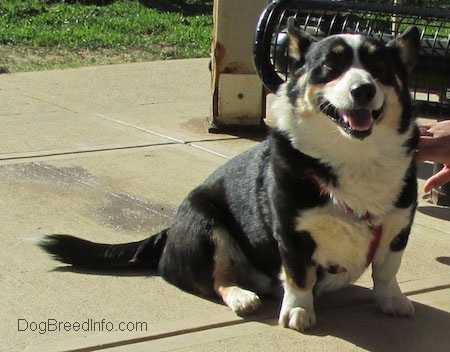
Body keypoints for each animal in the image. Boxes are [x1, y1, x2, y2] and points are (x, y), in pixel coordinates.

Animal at [37, 18, 420, 332]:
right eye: (330, 67)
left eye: (381, 69)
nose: (363, 90)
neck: (354, 156)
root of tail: (168, 232)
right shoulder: (291, 233)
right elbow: (299, 276)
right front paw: (298, 311)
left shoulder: (397, 228)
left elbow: (387, 270)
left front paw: (392, 301)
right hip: (207, 224)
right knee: (216, 279)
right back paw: (241, 296)